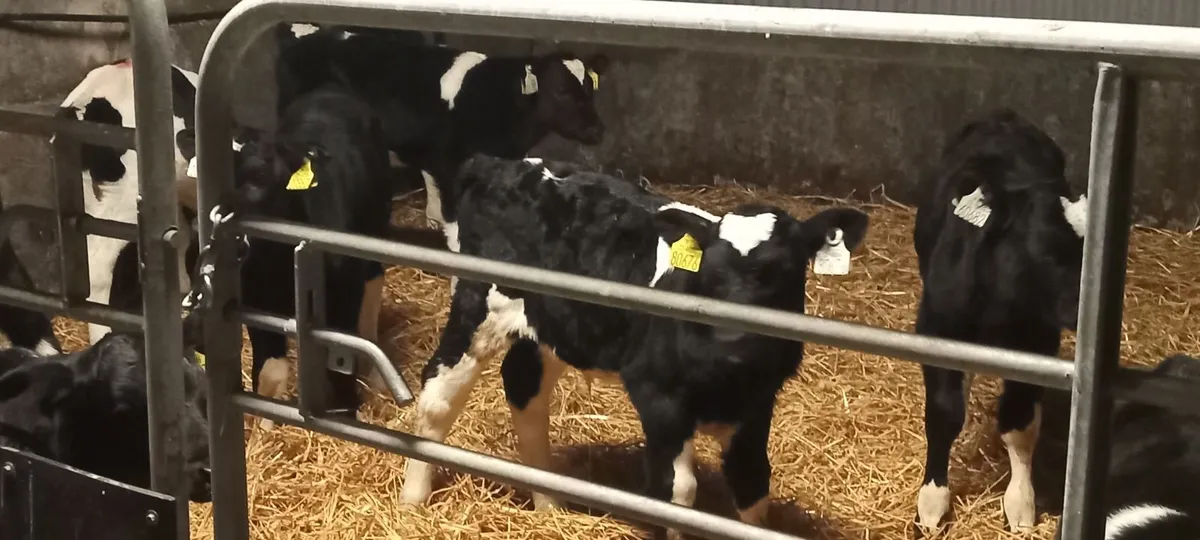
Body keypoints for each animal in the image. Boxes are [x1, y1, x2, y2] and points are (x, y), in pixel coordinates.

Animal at [397, 154, 870, 539]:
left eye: (783, 270)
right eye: (711, 273)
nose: (730, 340)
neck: (725, 378)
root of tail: (500, 163)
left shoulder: (757, 406)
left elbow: (752, 486)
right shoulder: (658, 397)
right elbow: (676, 492)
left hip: (553, 327)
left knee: (524, 389)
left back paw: (550, 505)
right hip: (479, 304)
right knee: (438, 393)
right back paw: (413, 499)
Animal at [911, 108, 1089, 533]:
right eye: (1047, 247)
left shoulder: (1038, 341)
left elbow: (1020, 425)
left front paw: (1021, 504)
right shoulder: (937, 327)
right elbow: (943, 414)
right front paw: (932, 503)